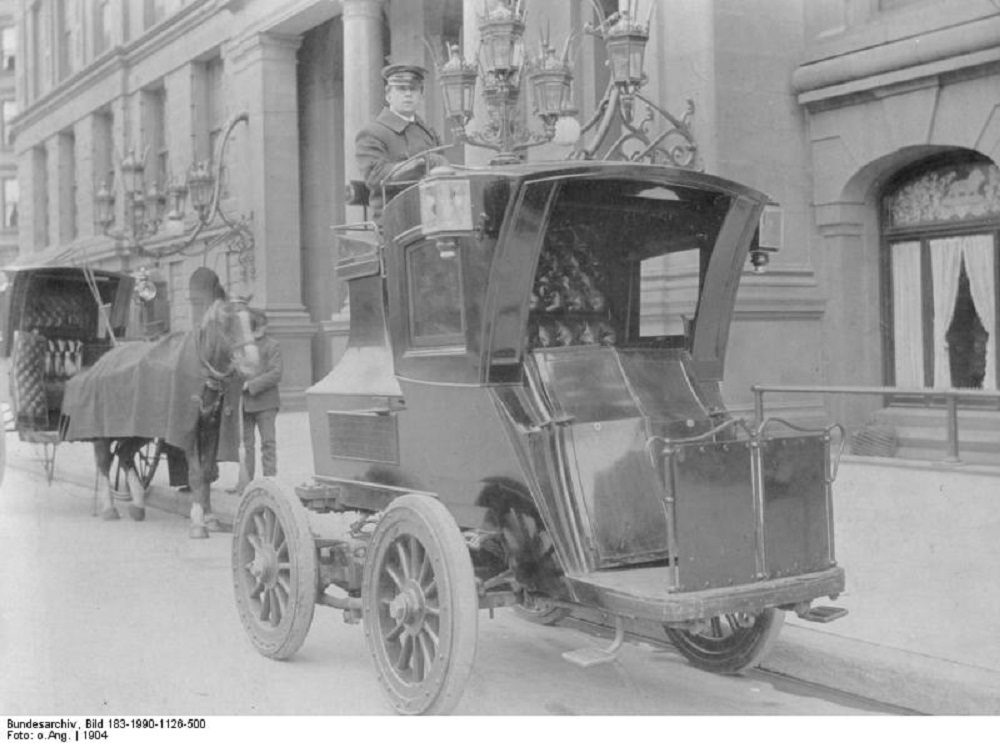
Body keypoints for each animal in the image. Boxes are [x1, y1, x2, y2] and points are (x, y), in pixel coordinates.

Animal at [81, 300, 258, 536]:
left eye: (252, 321)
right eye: (226, 323)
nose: (252, 362)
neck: (203, 372)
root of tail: (104, 359)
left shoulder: (211, 427)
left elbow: (206, 472)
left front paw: (210, 518)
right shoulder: (188, 432)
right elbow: (195, 474)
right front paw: (198, 523)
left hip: (140, 430)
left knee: (124, 453)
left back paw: (138, 505)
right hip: (106, 430)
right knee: (104, 461)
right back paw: (109, 508)